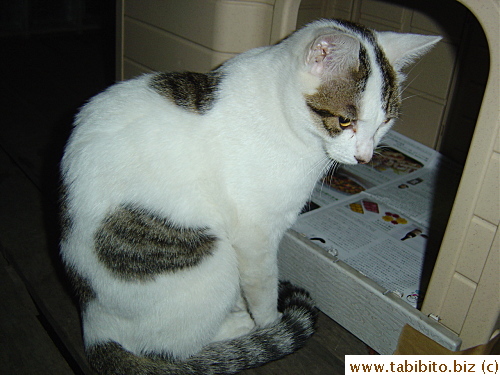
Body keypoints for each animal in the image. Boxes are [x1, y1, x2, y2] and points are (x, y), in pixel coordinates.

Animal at [60, 18, 440, 375]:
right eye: (346, 120)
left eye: (385, 122)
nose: (365, 157)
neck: (285, 118)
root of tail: (94, 326)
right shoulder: (256, 235)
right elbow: (264, 287)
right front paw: (271, 323)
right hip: (215, 261)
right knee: (171, 347)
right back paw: (241, 324)